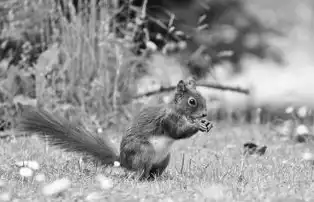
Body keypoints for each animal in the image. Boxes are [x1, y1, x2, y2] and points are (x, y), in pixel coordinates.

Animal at [17, 78, 213, 180]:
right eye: (192, 101)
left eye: (203, 98)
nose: (204, 114)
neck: (179, 111)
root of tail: (123, 161)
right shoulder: (167, 119)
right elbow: (176, 132)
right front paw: (197, 125)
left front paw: (207, 124)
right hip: (144, 151)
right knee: (140, 171)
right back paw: (139, 177)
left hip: (164, 158)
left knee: (153, 172)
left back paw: (159, 178)